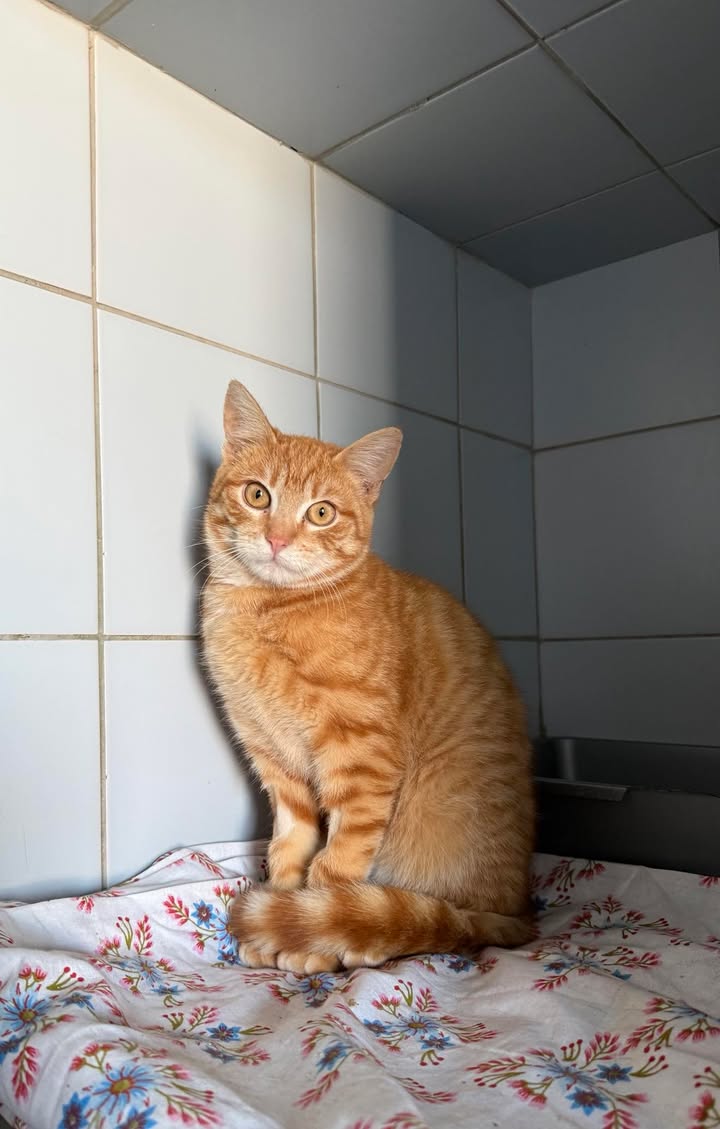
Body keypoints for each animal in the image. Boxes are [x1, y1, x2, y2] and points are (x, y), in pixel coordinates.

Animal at [201, 380, 535, 974]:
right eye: (258, 496)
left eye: (322, 512)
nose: (278, 540)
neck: (269, 608)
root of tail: (518, 914)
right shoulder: (274, 759)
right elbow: (289, 846)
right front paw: (281, 905)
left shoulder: (363, 757)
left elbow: (336, 865)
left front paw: (307, 933)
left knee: (421, 924)